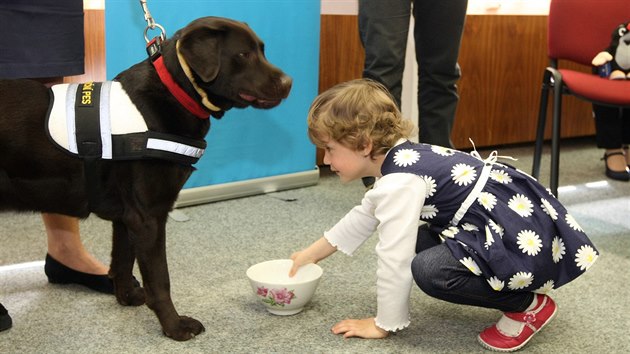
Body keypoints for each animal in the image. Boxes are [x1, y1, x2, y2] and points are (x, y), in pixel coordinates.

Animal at [0, 15, 292, 340]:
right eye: (244, 54)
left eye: (262, 50)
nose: (288, 83)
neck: (176, 91)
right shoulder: (148, 216)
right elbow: (160, 280)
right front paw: (175, 326)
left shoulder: (126, 217)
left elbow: (123, 260)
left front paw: (126, 297)